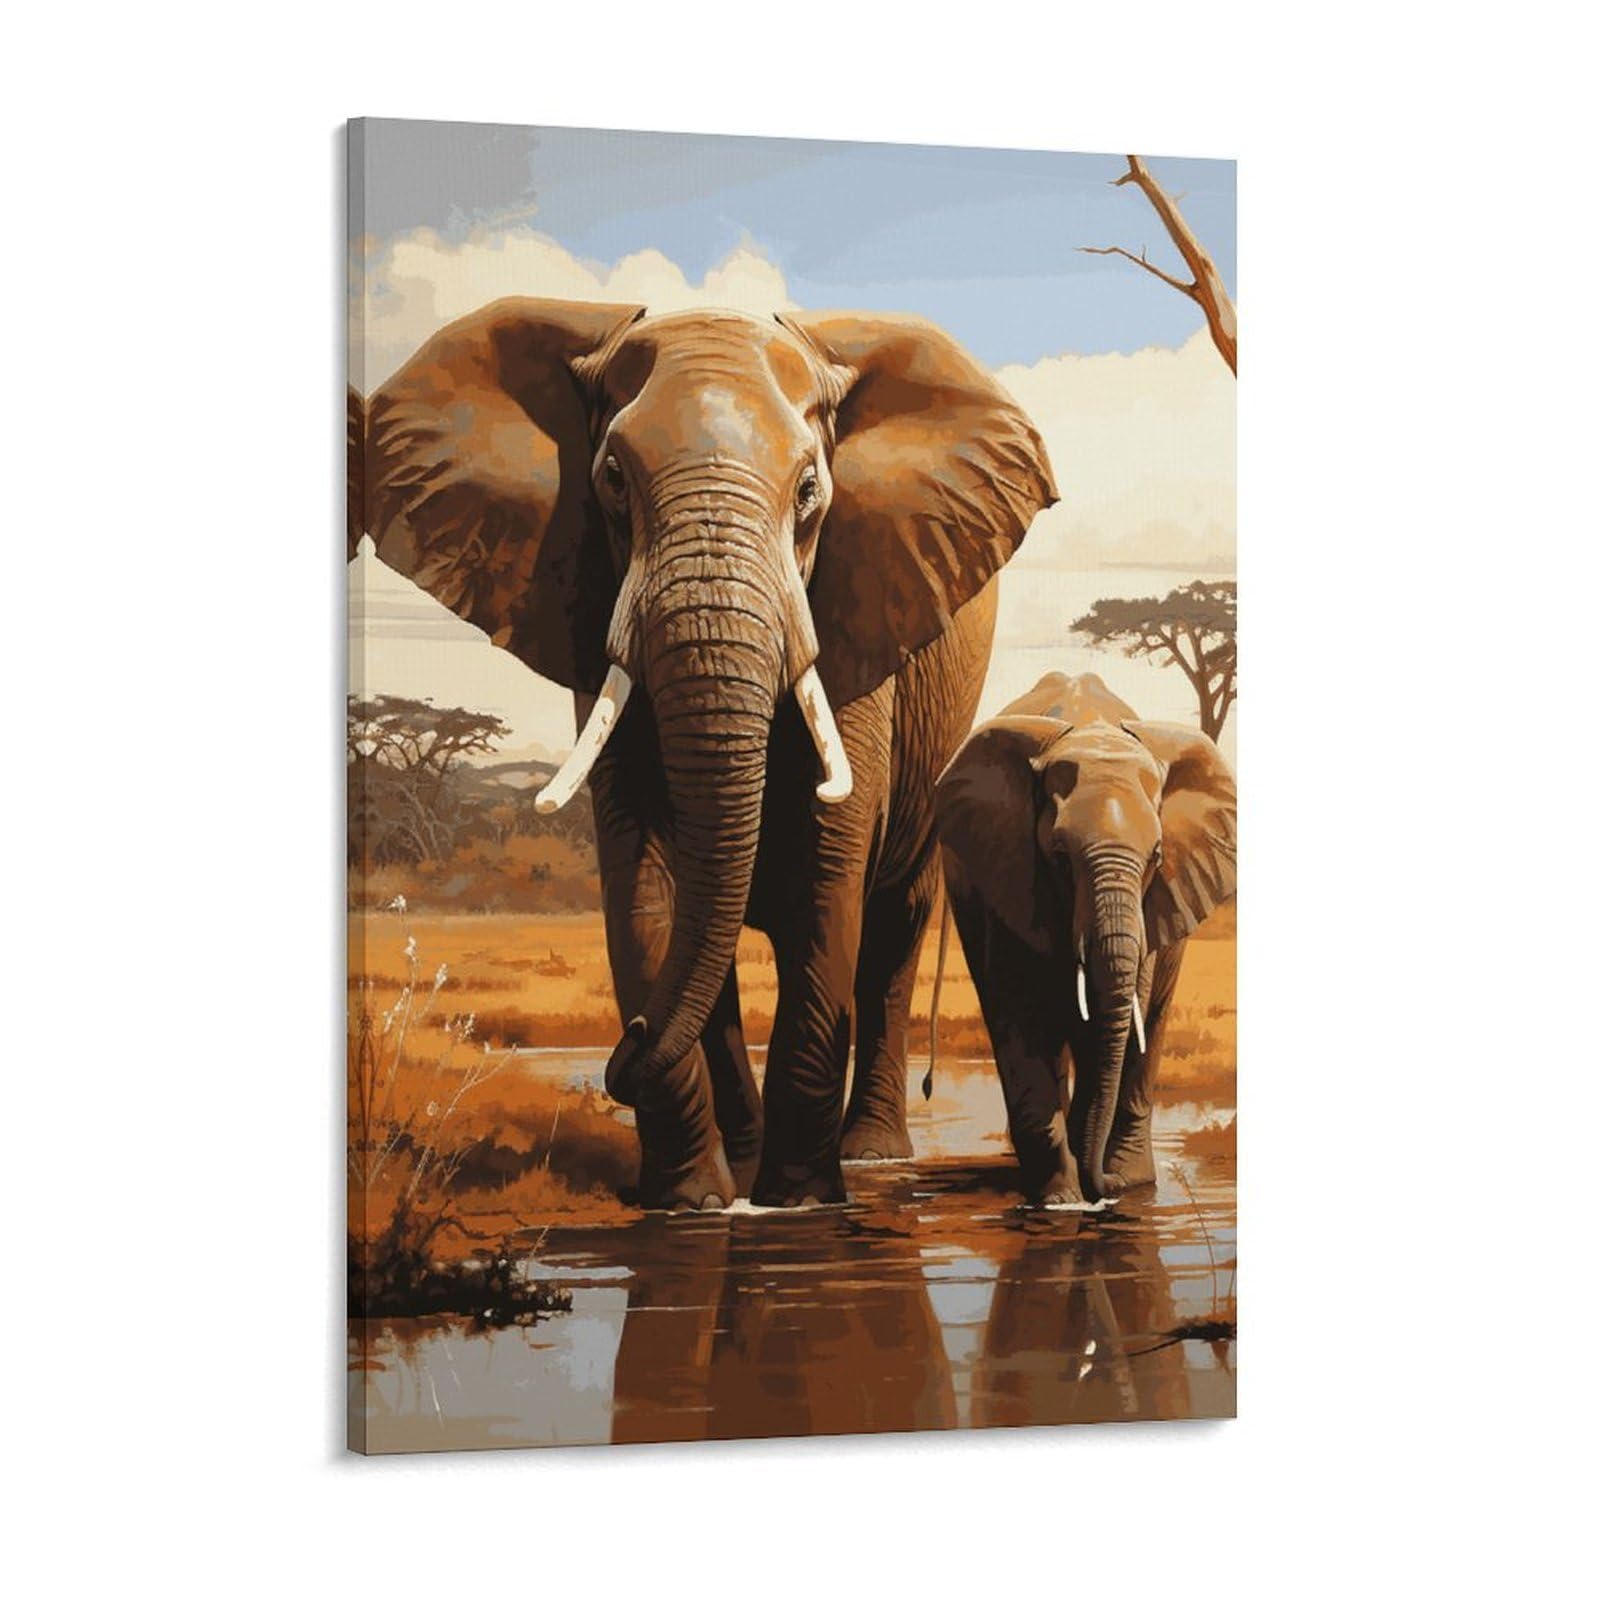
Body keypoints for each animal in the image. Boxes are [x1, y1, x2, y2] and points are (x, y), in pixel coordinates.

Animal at [359, 299, 1057, 1209]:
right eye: (612, 479)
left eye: (810, 491)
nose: (625, 1045)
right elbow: (645, 881)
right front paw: (691, 1202)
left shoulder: (858, 612)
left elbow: (828, 879)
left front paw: (799, 1203)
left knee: (890, 930)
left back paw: (870, 1156)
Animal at [935, 672, 1236, 1204]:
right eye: (1058, 856)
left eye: (1157, 856)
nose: (1104, 1190)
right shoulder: (1010, 871)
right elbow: (1020, 1011)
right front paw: (1059, 1200)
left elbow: (1125, 1010)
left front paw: (1101, 1186)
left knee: (1149, 1023)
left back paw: (1134, 1180)